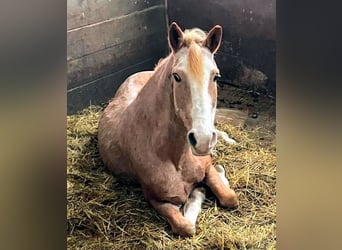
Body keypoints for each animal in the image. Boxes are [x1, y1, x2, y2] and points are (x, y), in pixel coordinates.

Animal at [97, 22, 239, 236]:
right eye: (177, 76)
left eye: (216, 76)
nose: (203, 140)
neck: (174, 157)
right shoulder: (155, 198)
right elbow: (186, 226)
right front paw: (197, 192)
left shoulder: (206, 165)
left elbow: (230, 197)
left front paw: (217, 175)